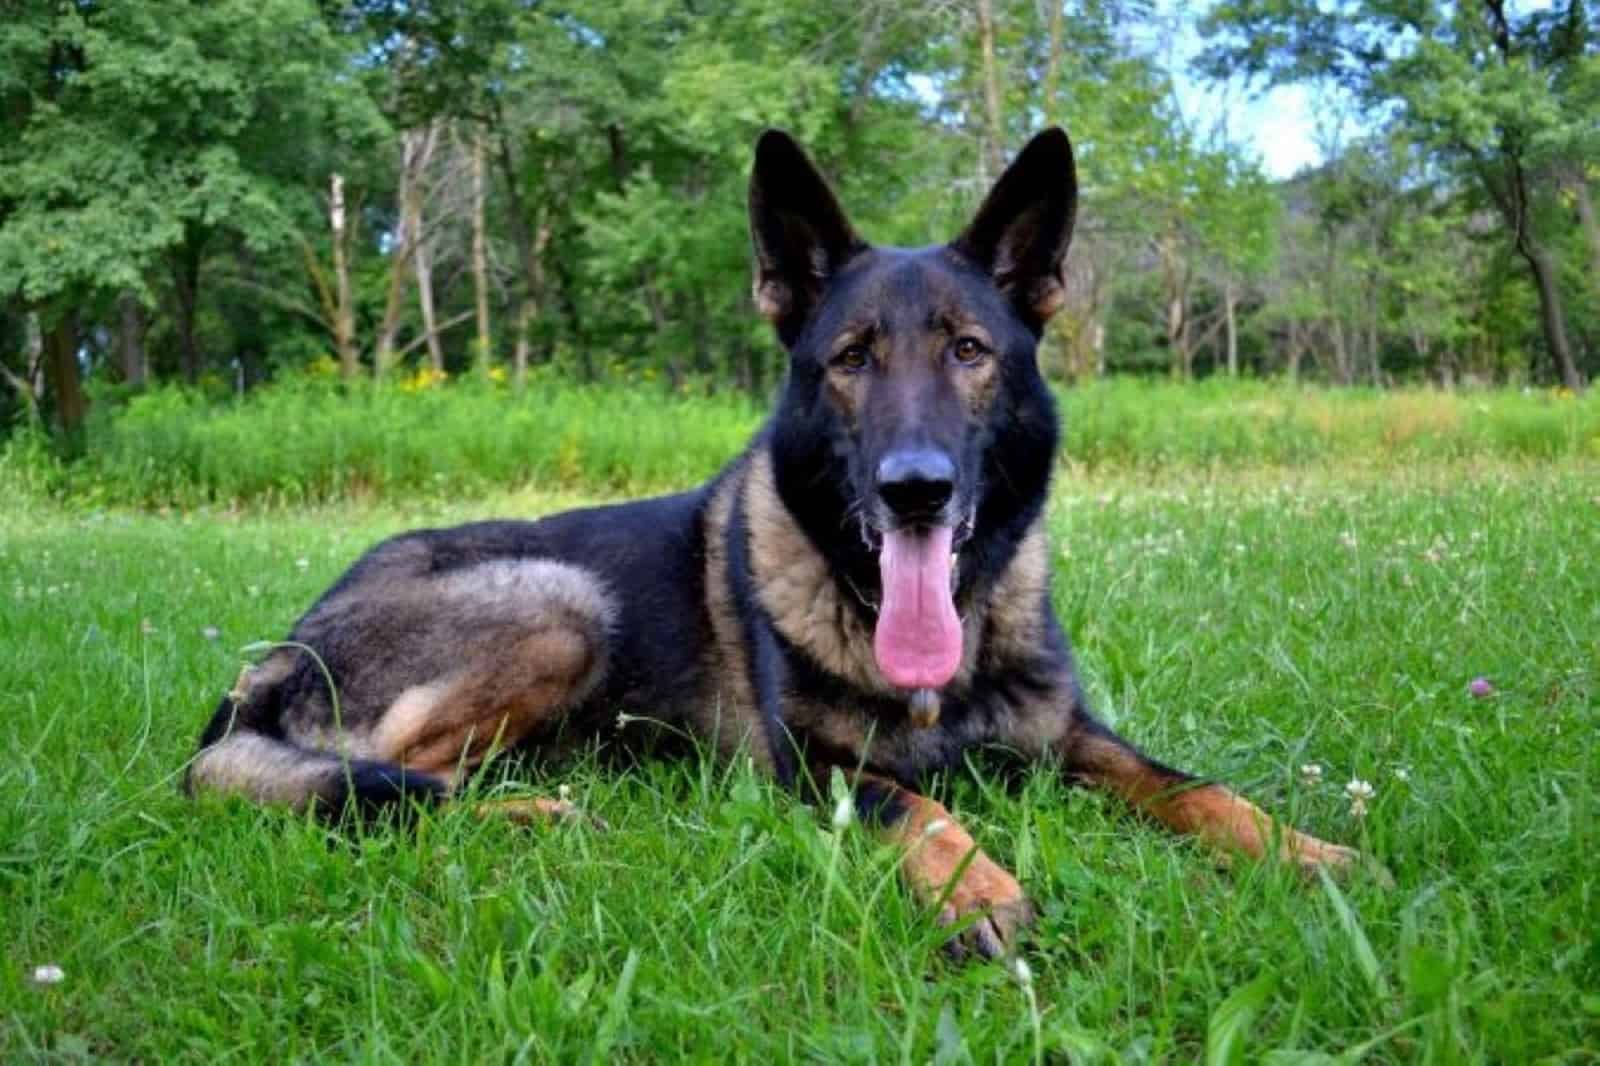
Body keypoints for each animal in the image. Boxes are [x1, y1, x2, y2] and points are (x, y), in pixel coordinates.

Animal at [190, 126, 1363, 953]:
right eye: (849, 358)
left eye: (969, 351)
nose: (914, 490)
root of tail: (275, 656)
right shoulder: (813, 769)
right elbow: (917, 803)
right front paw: (974, 886)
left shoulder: (1073, 734)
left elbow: (1193, 786)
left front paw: (1304, 848)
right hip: (559, 603)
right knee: (372, 782)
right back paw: (532, 815)